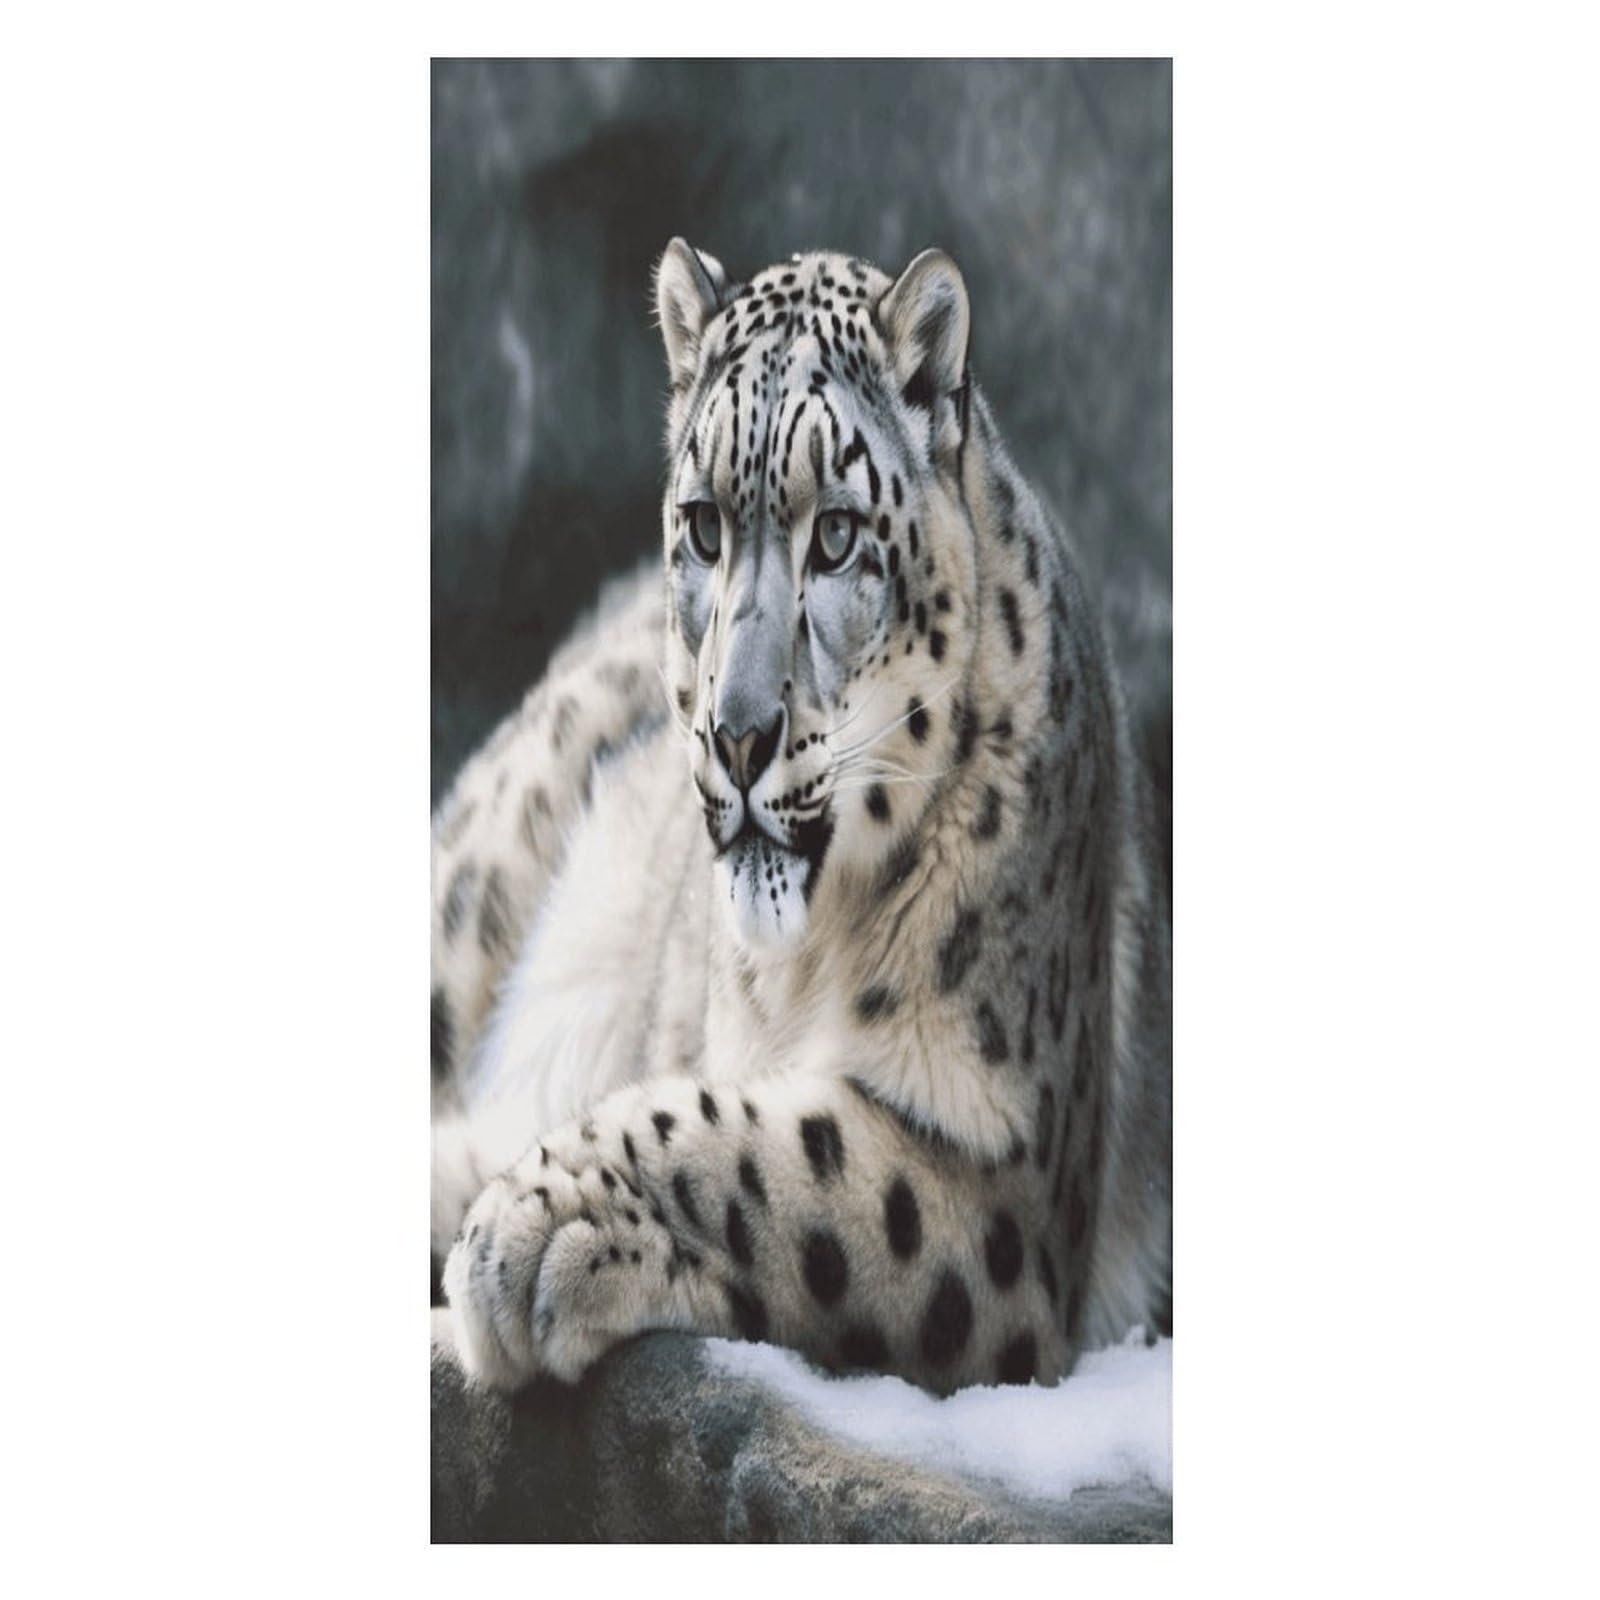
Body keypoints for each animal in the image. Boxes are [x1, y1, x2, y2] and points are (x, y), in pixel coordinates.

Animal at [431, 240, 1171, 1396]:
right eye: (703, 524)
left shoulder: (1005, 1187)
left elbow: (773, 1158)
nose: (739, 735)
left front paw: (532, 1228)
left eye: (835, 535)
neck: (807, 959)